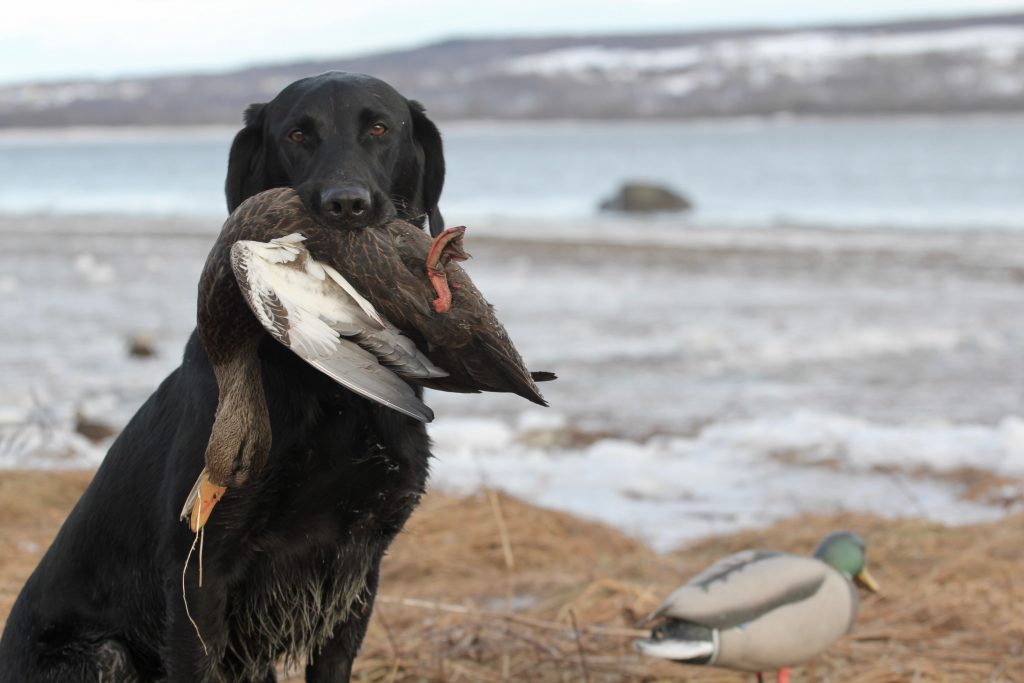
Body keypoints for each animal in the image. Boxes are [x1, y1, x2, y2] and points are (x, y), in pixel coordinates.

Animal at [2, 70, 446, 683]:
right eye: (297, 134)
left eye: (380, 128)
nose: (346, 205)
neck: (329, 385)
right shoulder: (200, 571)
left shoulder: (360, 566)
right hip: (104, 654)